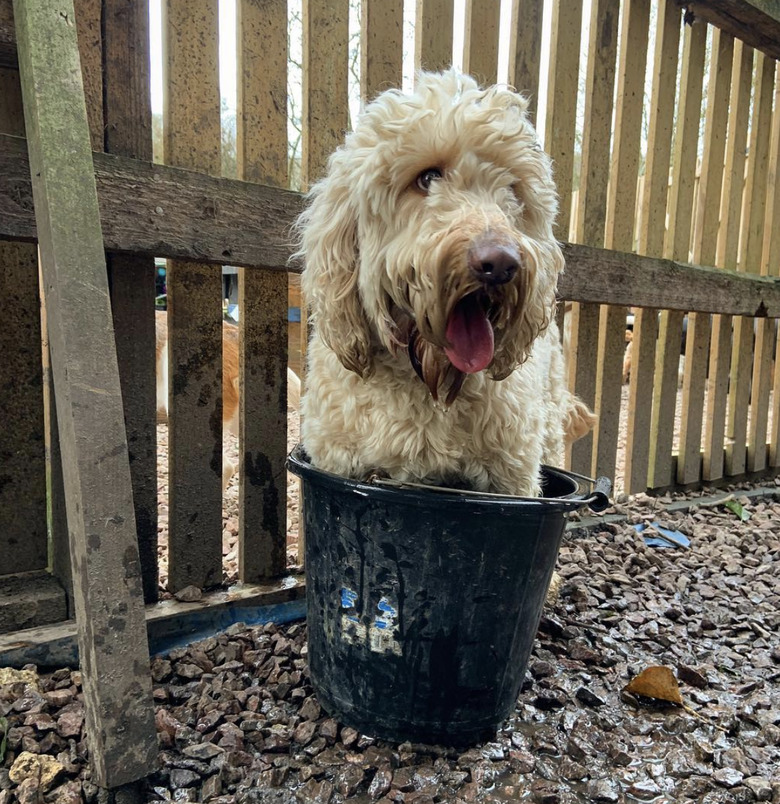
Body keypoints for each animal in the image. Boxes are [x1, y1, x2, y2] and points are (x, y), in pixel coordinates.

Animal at [296, 70, 596, 496]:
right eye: (427, 177)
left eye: (511, 189)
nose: (500, 264)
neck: (430, 384)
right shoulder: (338, 462)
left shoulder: (512, 478)